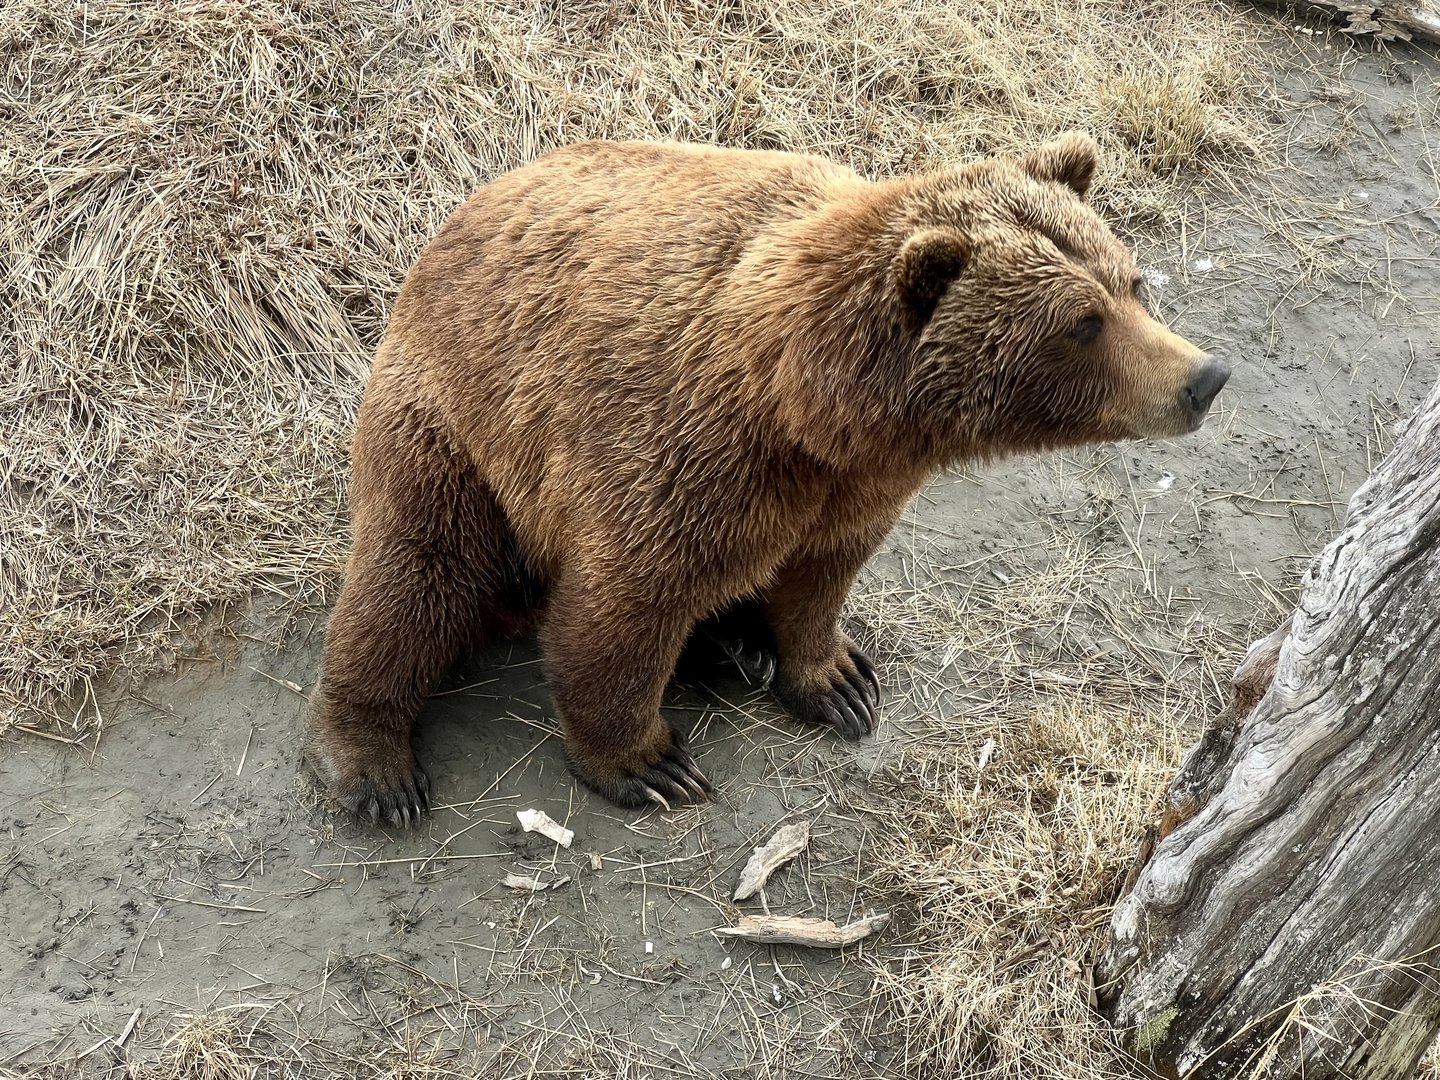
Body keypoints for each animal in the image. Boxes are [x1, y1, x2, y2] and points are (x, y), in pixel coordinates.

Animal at [304, 134, 1230, 825]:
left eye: (1131, 280)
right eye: (1083, 322)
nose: (1204, 377)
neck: (806, 405)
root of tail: (443, 234)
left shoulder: (853, 486)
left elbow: (823, 574)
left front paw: (837, 679)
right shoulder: (678, 444)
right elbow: (621, 606)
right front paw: (649, 763)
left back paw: (733, 644)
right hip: (451, 435)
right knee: (413, 577)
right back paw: (376, 765)